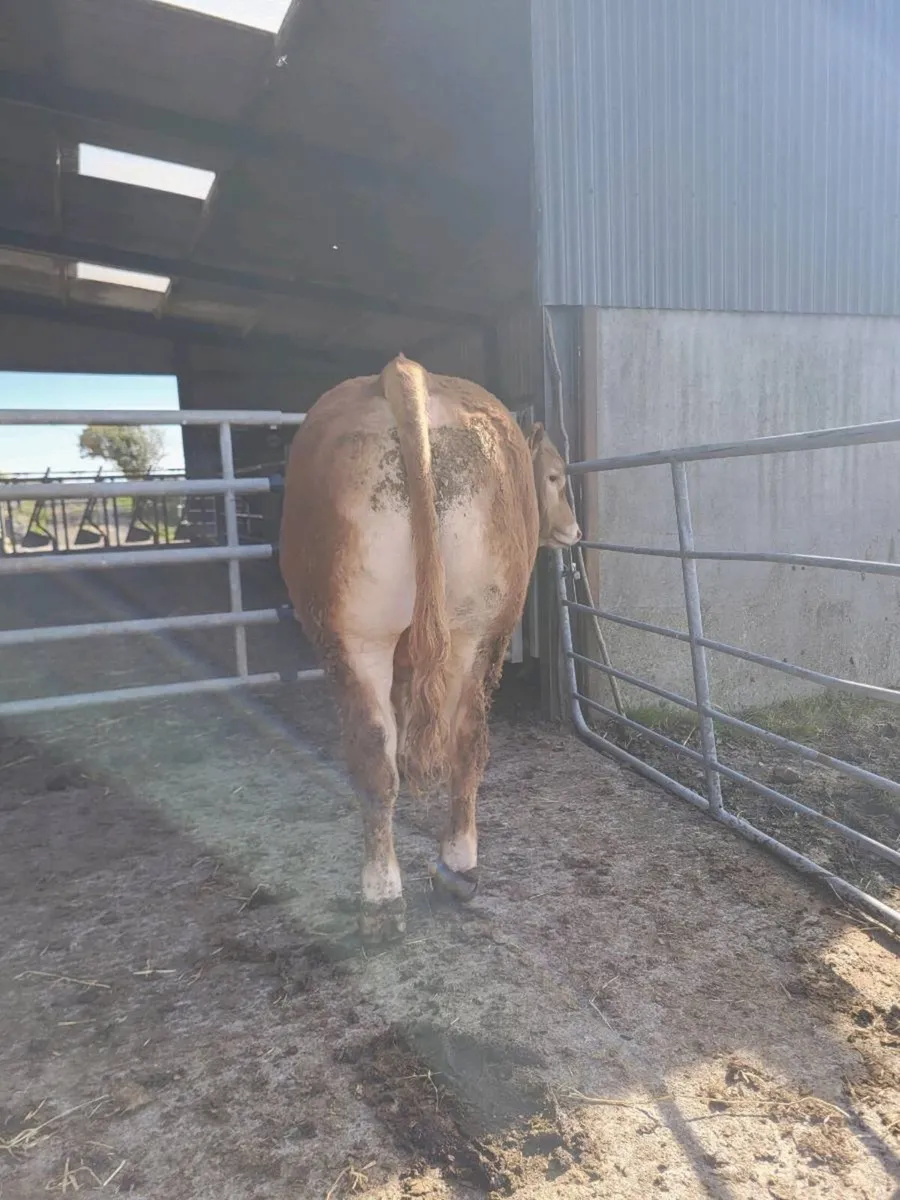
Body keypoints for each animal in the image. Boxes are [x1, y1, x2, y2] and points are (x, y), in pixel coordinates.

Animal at [279, 354, 580, 941]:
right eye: (556, 476)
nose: (576, 531)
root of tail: (403, 374)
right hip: (474, 629)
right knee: (456, 741)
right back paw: (446, 875)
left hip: (370, 634)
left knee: (391, 751)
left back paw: (395, 892)